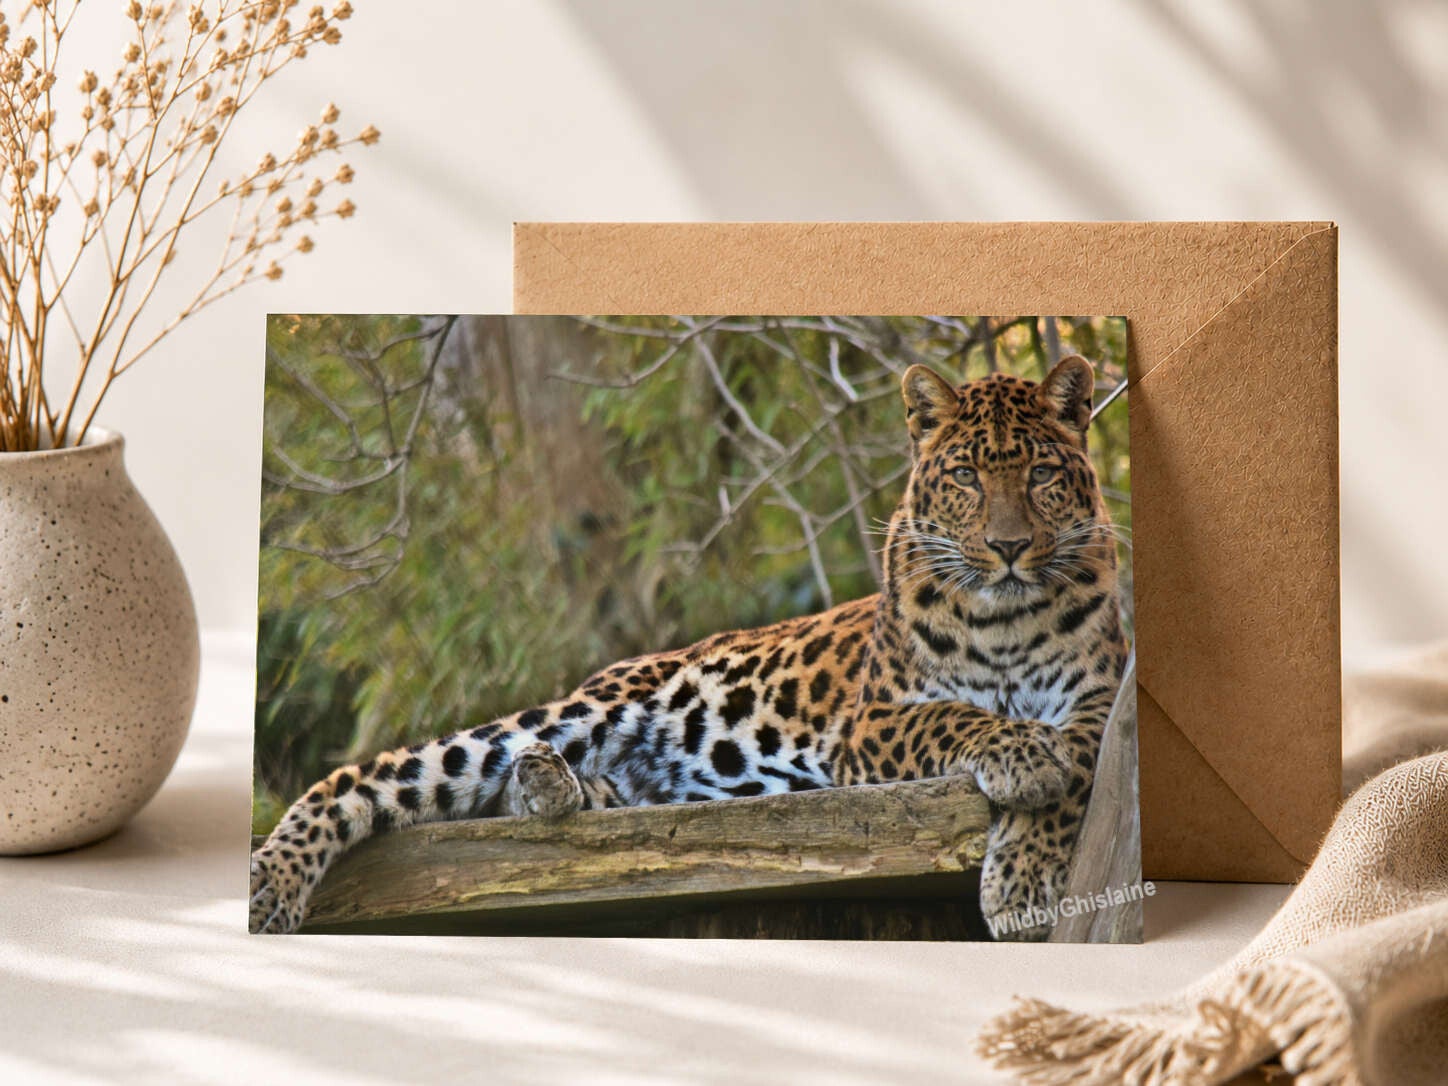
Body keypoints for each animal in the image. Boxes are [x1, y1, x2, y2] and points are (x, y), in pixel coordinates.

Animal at [250, 355, 1129, 940]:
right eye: (967, 477)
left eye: (1043, 474)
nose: (1009, 547)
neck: (1004, 618)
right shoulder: (876, 720)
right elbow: (963, 718)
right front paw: (1024, 760)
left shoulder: (1101, 695)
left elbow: (1085, 762)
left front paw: (1024, 875)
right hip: (574, 712)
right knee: (364, 778)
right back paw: (268, 885)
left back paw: (548, 787)